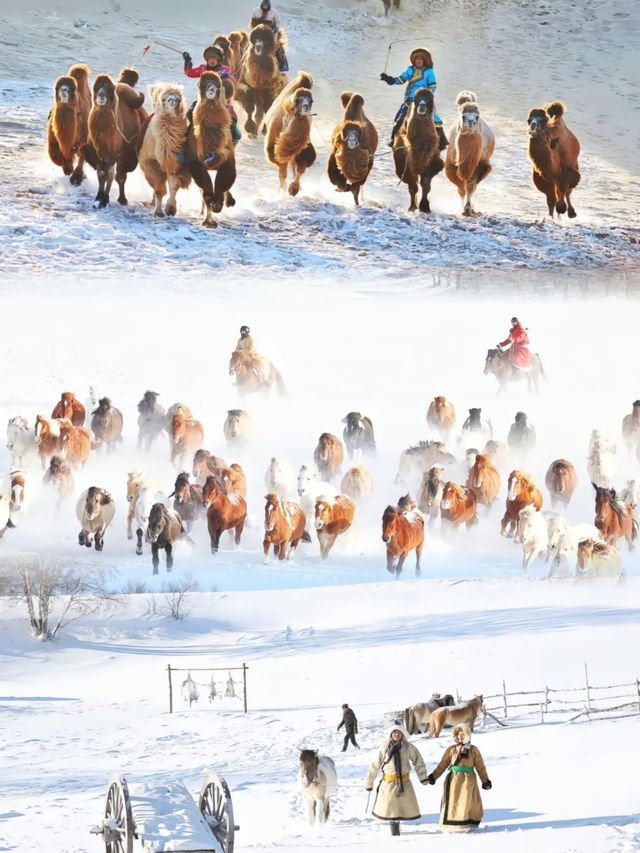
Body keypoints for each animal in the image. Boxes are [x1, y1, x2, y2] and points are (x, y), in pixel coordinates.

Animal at [82, 71, 145, 206]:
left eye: (108, 89)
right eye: (97, 87)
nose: (101, 95)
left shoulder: (122, 154)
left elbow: (118, 176)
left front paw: (119, 199)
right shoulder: (98, 153)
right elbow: (102, 174)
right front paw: (99, 199)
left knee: (118, 175)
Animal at [139, 82, 191, 218]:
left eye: (178, 98)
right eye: (163, 98)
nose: (172, 99)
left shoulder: (176, 164)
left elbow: (174, 185)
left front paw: (170, 209)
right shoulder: (149, 163)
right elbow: (159, 189)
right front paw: (158, 212)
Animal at [185, 70, 238, 226]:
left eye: (216, 83)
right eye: (205, 83)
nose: (211, 88)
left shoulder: (228, 160)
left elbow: (225, 179)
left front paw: (218, 204)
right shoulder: (195, 163)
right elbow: (206, 191)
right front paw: (209, 220)